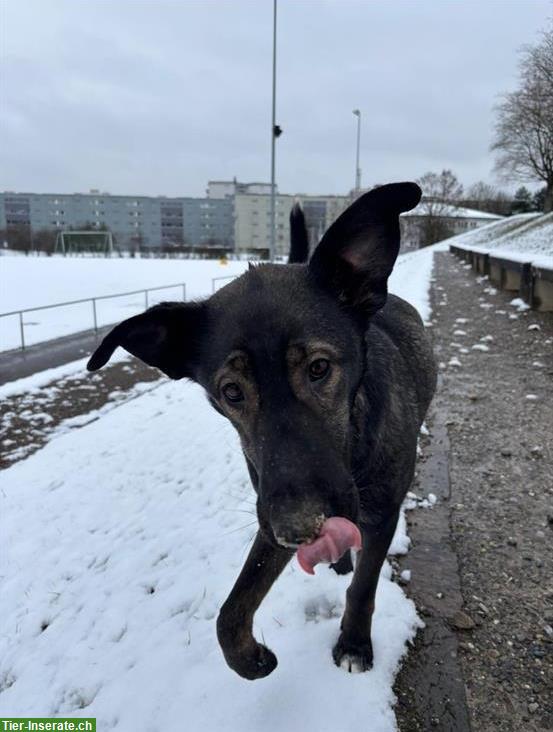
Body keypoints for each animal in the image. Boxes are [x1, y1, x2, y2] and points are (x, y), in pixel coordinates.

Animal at [86, 182, 436, 680]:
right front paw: (251, 658)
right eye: (231, 391)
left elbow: (364, 588)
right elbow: (230, 611)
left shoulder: (380, 511)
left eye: (319, 368)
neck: (353, 441)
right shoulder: (270, 513)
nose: (301, 527)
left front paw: (353, 643)